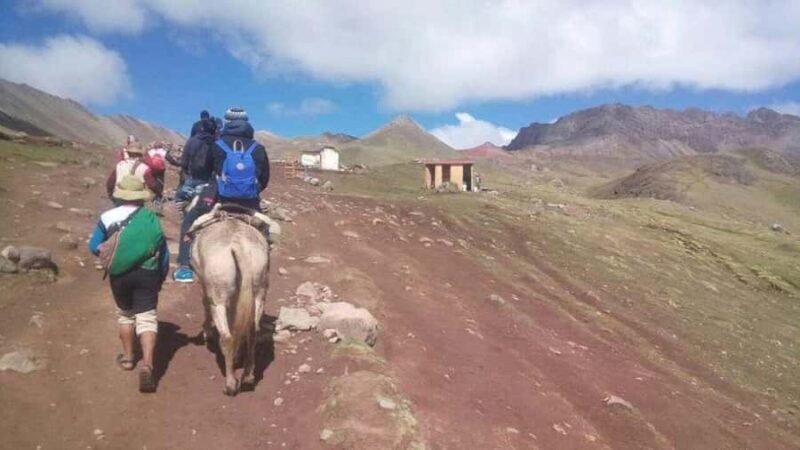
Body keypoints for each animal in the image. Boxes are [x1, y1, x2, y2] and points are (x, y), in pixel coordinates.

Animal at [191, 218, 269, 395]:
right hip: (258, 294)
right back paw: (247, 377)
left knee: (226, 337)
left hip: (218, 300)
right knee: (252, 332)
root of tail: (239, 246)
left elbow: (204, 303)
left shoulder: (205, 286)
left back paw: (231, 384)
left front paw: (207, 333)